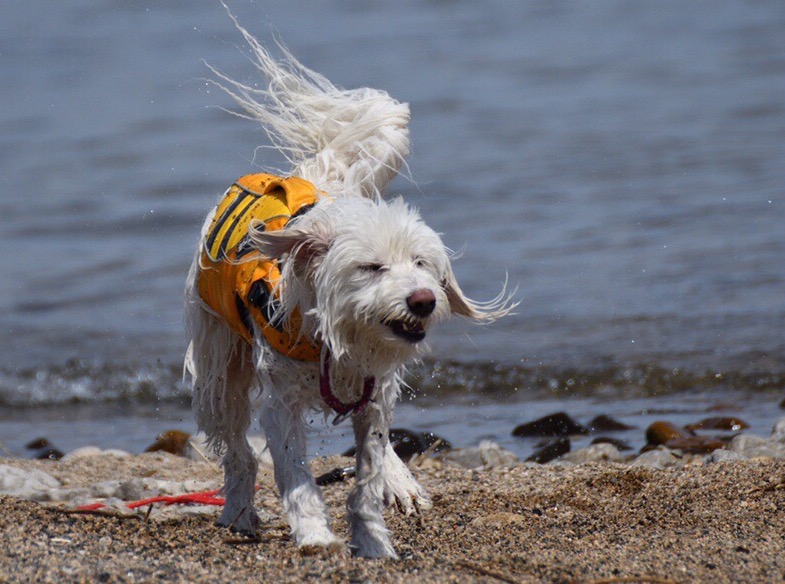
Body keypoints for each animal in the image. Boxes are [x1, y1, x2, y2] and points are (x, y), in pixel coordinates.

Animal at [185, 20, 516, 560]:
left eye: (421, 263)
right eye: (371, 267)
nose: (423, 300)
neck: (332, 336)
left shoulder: (373, 393)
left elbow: (367, 472)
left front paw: (373, 537)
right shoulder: (281, 406)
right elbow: (294, 473)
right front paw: (316, 534)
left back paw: (399, 482)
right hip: (219, 364)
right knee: (236, 448)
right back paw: (237, 510)